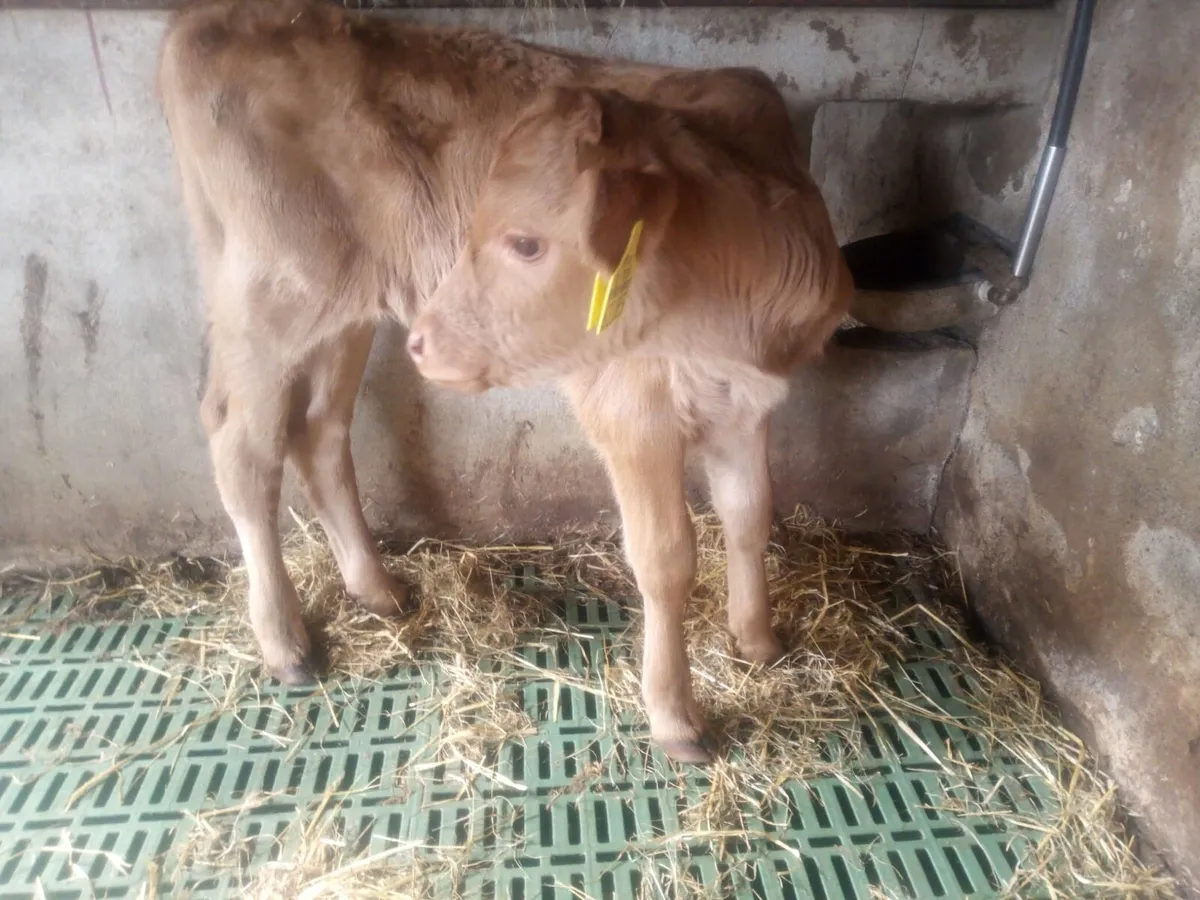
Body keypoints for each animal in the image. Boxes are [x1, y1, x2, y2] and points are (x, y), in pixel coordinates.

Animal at [158, 0, 852, 764]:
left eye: (526, 243)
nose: (424, 341)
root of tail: (212, 17)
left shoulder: (746, 406)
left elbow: (750, 514)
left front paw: (757, 641)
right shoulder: (631, 408)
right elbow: (667, 557)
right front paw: (675, 715)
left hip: (344, 313)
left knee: (319, 431)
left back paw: (377, 590)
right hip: (271, 293)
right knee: (241, 446)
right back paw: (285, 642)